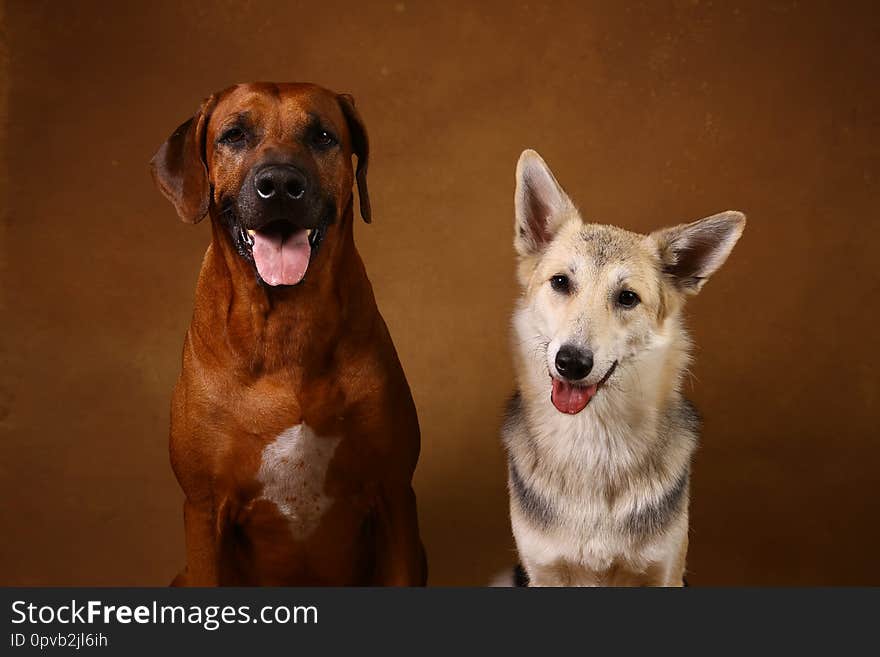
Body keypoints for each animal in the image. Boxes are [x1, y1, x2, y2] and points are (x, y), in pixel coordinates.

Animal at [150, 82, 426, 584]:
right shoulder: (203, 510)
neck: (285, 325)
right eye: (234, 135)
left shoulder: (395, 495)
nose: (279, 184)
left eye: (322, 136)